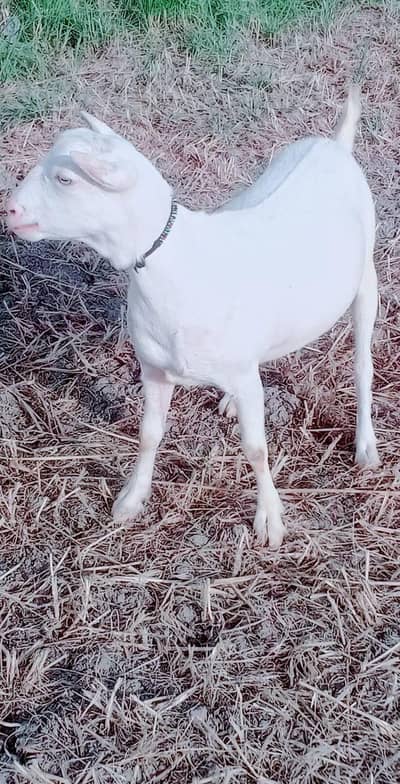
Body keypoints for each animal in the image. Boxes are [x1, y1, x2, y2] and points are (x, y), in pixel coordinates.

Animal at [6, 86, 379, 548]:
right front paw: (131, 499)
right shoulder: (153, 367)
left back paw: (366, 446)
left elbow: (257, 448)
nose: (10, 210)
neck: (176, 261)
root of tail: (335, 145)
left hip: (366, 279)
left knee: (362, 366)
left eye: (65, 179)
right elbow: (149, 434)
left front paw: (270, 520)